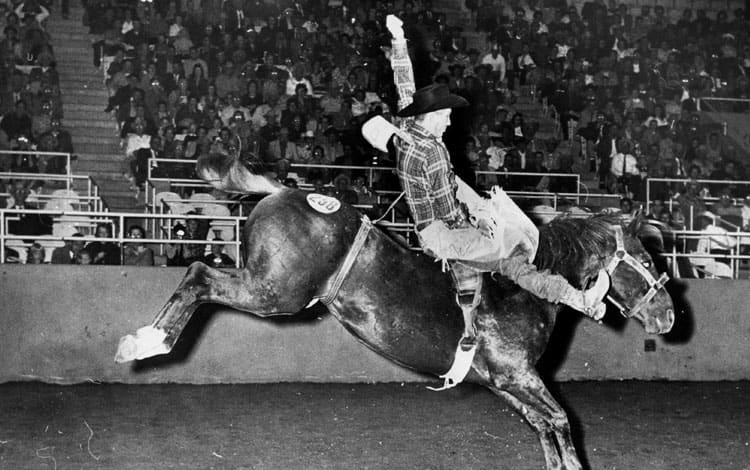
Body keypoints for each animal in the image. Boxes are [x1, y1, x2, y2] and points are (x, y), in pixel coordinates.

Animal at [116, 154, 676, 470]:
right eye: (648, 261)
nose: (669, 317)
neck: (522, 285)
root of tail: (285, 190)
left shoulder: (504, 383)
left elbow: (547, 427)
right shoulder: (516, 375)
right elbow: (561, 421)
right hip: (273, 292)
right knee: (199, 275)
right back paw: (146, 342)